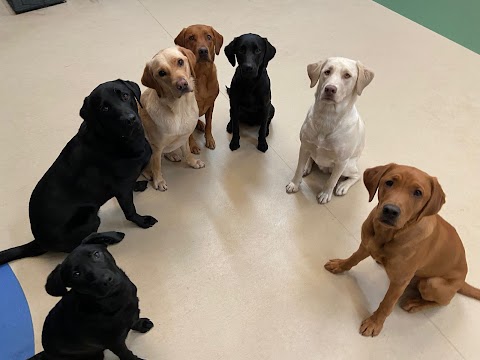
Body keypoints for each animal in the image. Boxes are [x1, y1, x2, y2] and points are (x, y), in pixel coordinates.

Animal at [27, 231, 154, 360]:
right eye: (76, 274)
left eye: (96, 254)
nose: (106, 280)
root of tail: (46, 354)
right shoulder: (115, 343)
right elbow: (127, 354)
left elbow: (134, 320)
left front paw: (141, 324)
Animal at [140, 46, 205, 191]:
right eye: (161, 73)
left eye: (180, 62)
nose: (182, 84)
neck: (180, 108)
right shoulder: (156, 147)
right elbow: (157, 166)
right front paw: (158, 181)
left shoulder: (185, 136)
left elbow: (187, 152)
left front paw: (193, 162)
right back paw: (148, 173)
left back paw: (172, 154)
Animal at [174, 23, 223, 153]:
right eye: (191, 38)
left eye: (209, 37)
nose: (203, 51)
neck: (202, 74)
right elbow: (189, 134)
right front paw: (193, 145)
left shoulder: (211, 104)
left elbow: (209, 124)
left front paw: (209, 139)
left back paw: (200, 124)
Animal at [284, 56, 376, 202]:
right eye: (327, 72)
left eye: (347, 75)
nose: (330, 89)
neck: (327, 117)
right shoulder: (304, 146)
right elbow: (298, 169)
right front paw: (294, 183)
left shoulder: (341, 162)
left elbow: (332, 181)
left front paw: (325, 194)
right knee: (311, 158)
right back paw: (307, 166)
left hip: (348, 166)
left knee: (356, 175)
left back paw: (343, 186)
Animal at [324, 165, 478, 336]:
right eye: (389, 182)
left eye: (418, 192)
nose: (390, 210)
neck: (388, 234)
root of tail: (463, 280)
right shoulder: (366, 245)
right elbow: (352, 259)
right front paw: (339, 265)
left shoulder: (399, 282)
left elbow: (386, 304)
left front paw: (374, 323)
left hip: (432, 283)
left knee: (443, 302)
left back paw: (416, 304)